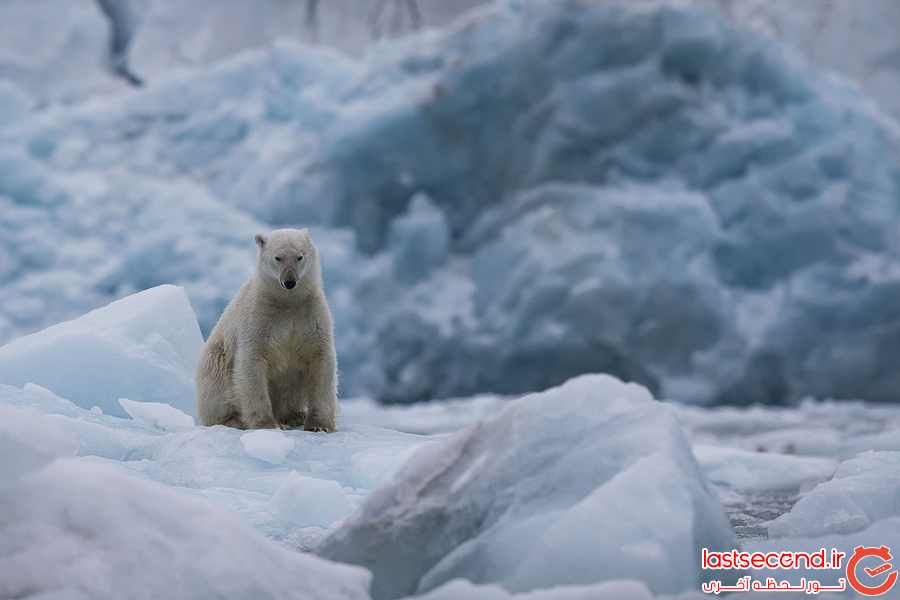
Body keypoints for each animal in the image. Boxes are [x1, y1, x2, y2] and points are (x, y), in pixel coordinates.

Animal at [197, 229, 338, 432]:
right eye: (278, 257)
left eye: (299, 257)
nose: (289, 282)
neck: (287, 302)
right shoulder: (259, 317)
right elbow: (252, 362)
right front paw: (266, 424)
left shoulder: (310, 314)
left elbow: (320, 358)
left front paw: (319, 425)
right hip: (215, 362)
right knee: (218, 386)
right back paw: (236, 420)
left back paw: (295, 415)